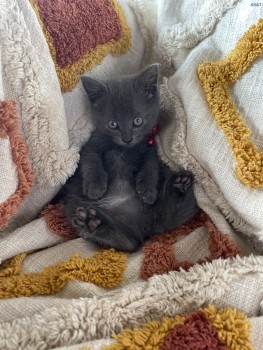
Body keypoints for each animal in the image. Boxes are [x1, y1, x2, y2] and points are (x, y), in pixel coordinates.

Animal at [55, 65, 198, 252]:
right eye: (113, 124)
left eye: (137, 121)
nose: (127, 138)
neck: (124, 148)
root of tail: (144, 225)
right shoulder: (92, 144)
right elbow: (90, 160)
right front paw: (95, 186)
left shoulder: (150, 148)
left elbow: (151, 165)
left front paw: (147, 189)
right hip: (74, 205)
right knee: (127, 242)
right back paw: (92, 223)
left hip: (159, 215)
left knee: (166, 217)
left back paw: (179, 185)